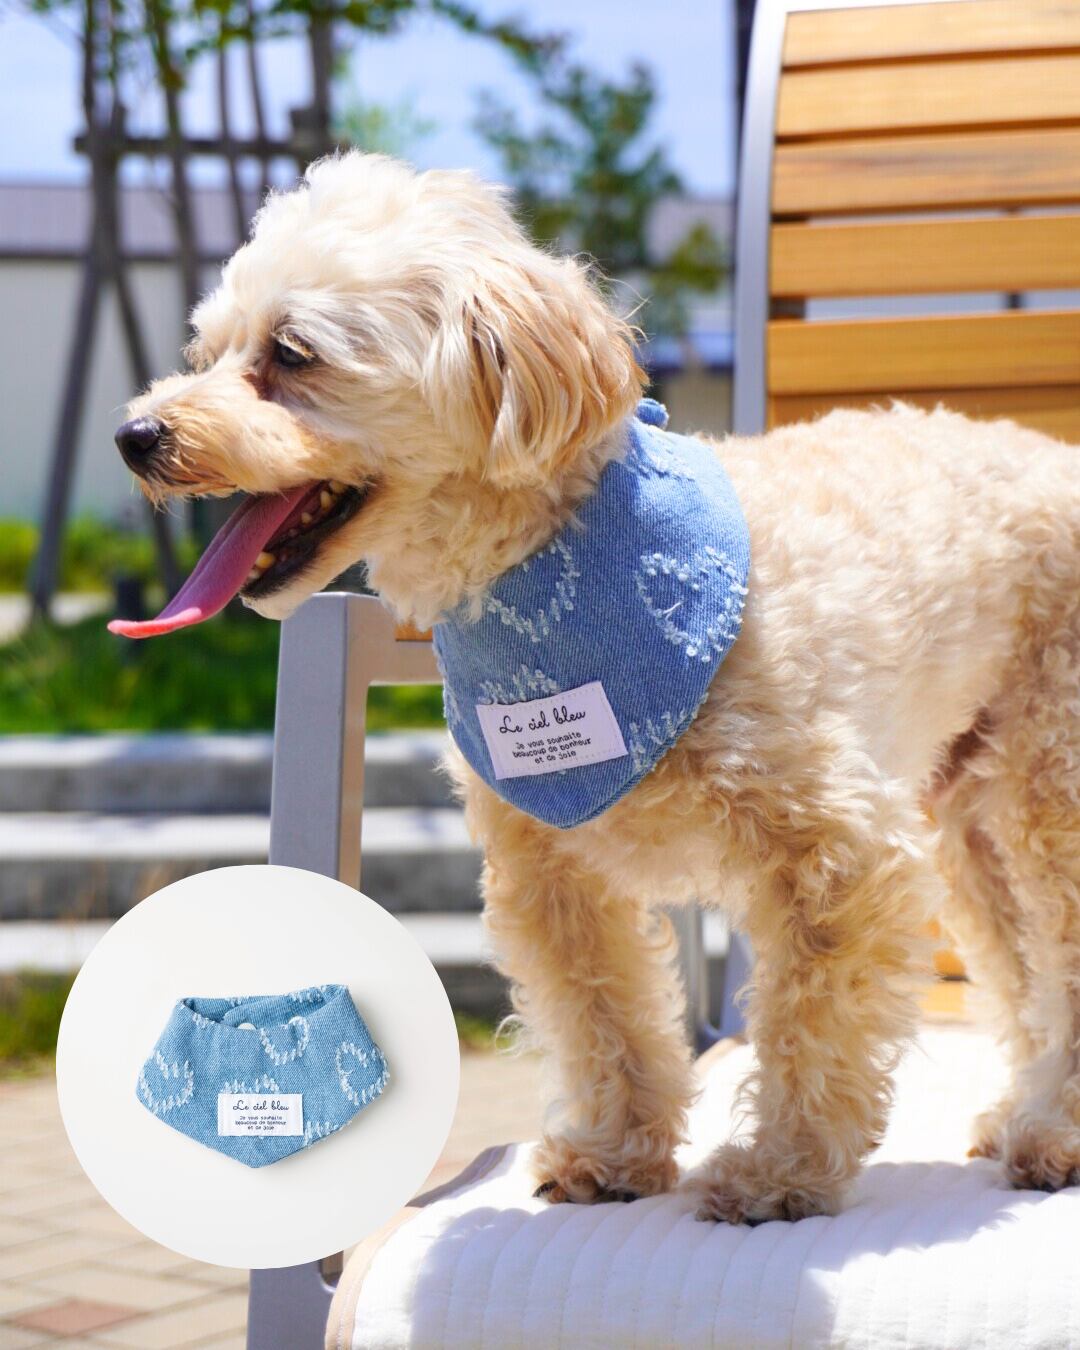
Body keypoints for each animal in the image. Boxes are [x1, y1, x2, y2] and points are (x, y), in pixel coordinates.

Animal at [111, 151, 1080, 1223]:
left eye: (292, 353)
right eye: (205, 350)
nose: (135, 435)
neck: (556, 584)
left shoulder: (839, 856)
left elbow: (807, 1026)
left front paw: (778, 1171)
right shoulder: (548, 863)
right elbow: (601, 1012)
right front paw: (614, 1156)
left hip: (1051, 778)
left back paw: (1053, 1132)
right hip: (969, 819)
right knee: (1023, 968)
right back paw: (1024, 1112)